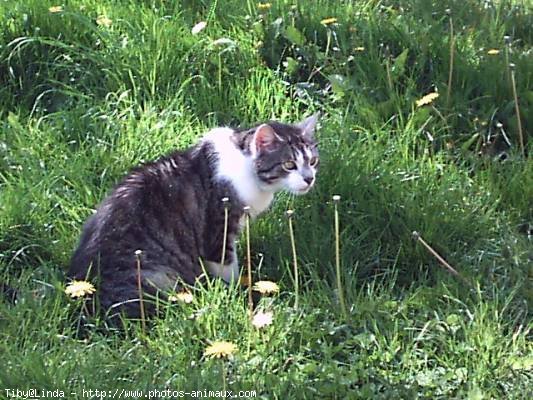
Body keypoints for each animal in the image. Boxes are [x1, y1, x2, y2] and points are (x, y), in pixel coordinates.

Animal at [66, 114, 316, 320]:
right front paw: (235, 295)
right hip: (156, 275)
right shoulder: (219, 230)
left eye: (312, 161)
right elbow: (228, 267)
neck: (244, 162)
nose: (309, 178)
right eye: (289, 164)